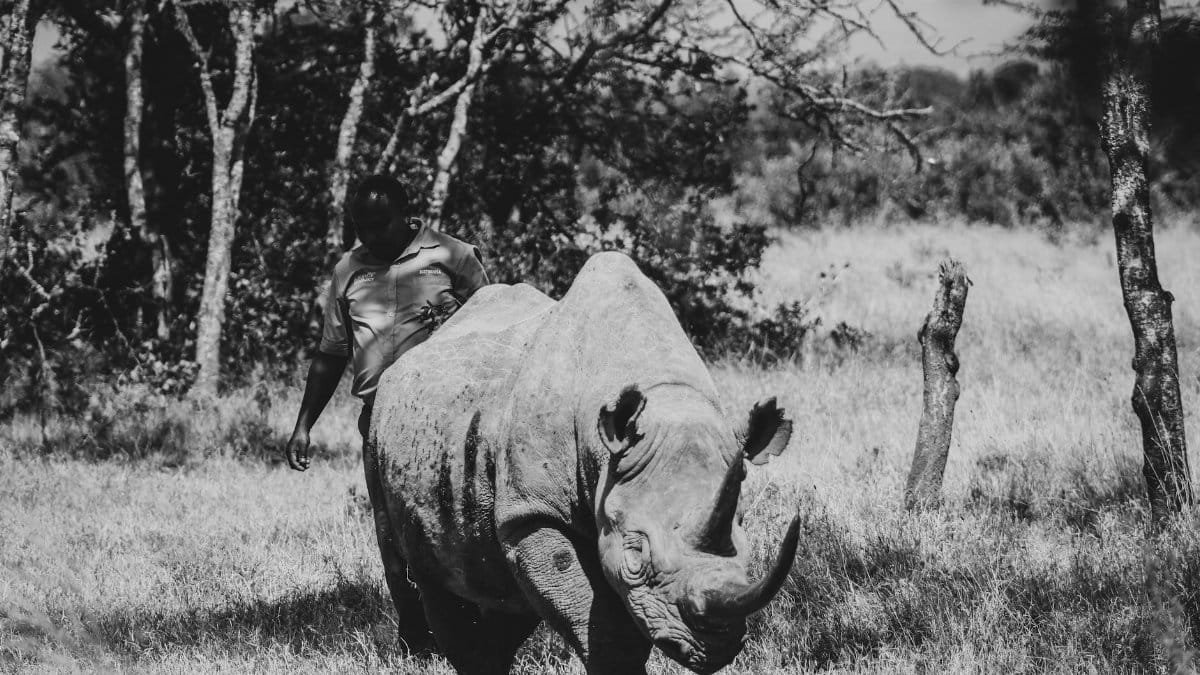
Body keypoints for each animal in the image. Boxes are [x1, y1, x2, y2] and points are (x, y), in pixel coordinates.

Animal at [366, 252, 800, 674]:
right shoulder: (532, 512)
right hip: (376, 429)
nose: (715, 645)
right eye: (635, 556)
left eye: (742, 539)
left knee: (498, 593)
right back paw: (424, 649)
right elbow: (600, 621)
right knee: (420, 572)